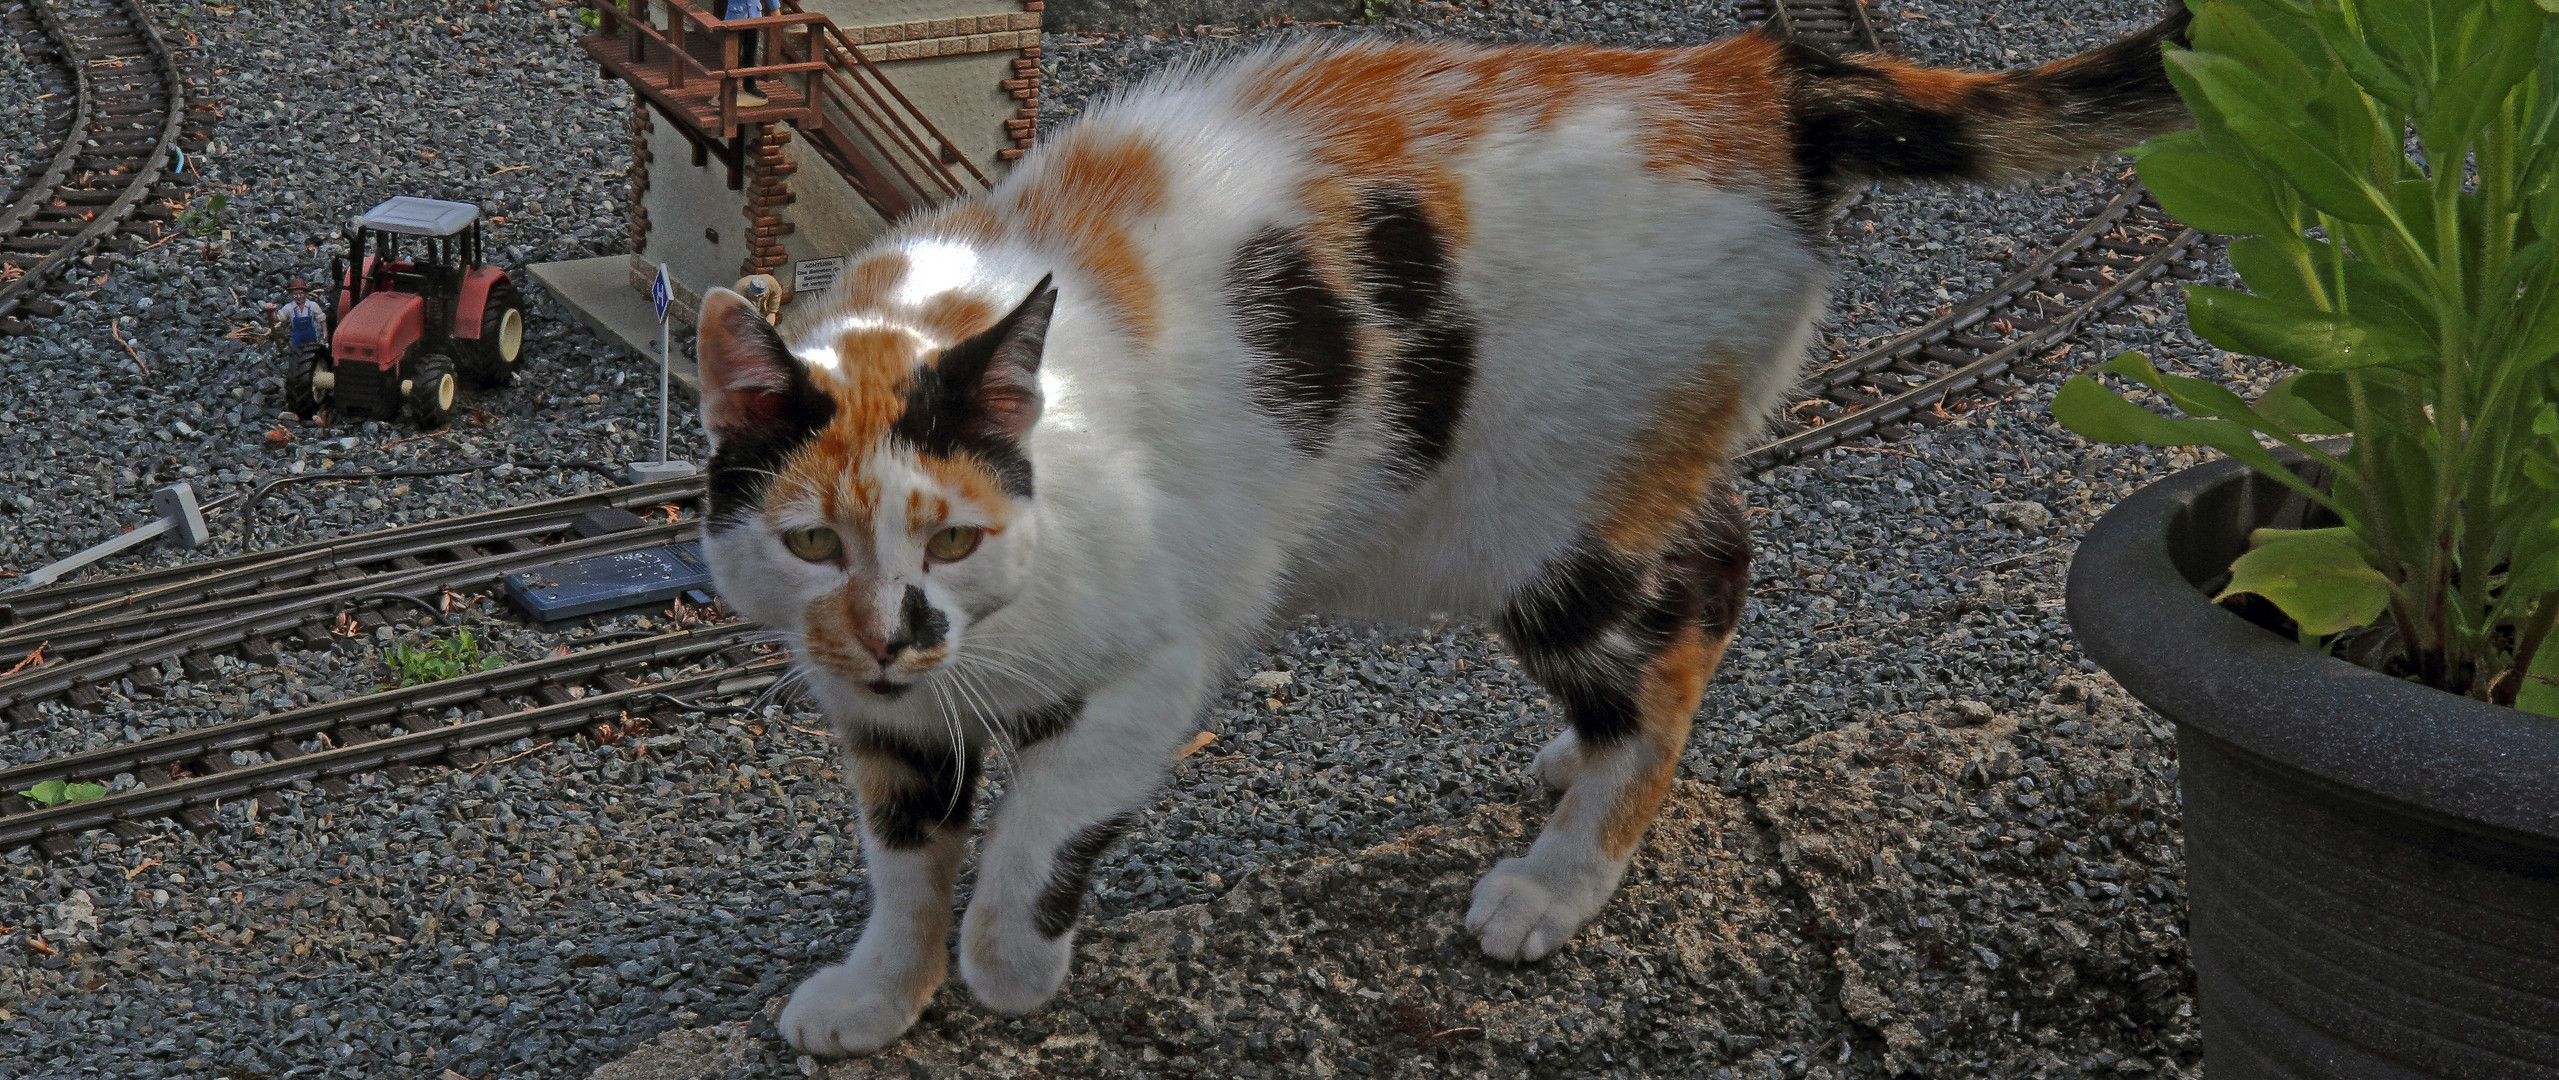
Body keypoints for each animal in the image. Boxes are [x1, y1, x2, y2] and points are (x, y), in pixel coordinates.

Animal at [690, 10, 2190, 1054]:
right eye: (813, 545)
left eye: (949, 540)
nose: (893, 632)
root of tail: (1741, 72)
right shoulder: (876, 716)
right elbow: (903, 860)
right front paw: (879, 994)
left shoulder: (1158, 661)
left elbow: (1038, 826)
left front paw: (1007, 965)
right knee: (1708, 561)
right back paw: (1572, 762)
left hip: (1541, 515)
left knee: (1683, 621)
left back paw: (1560, 877)